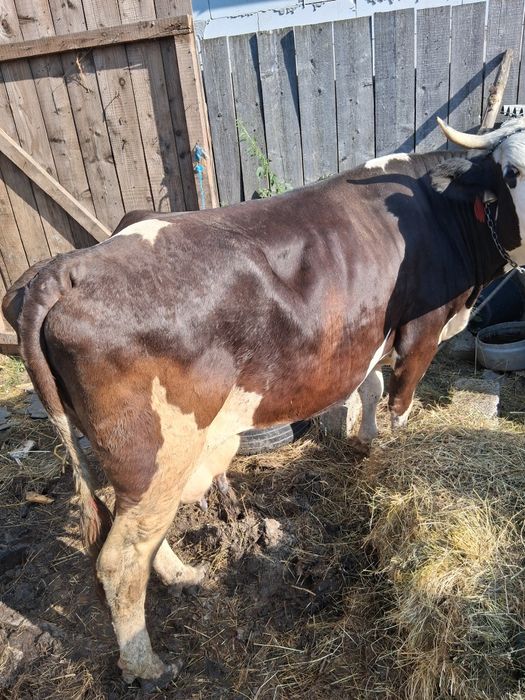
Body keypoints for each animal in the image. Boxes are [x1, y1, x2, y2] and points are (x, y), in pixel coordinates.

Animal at [3, 117, 525, 686]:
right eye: (513, 173)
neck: (439, 211)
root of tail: (65, 269)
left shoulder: (367, 335)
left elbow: (369, 388)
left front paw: (364, 445)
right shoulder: (421, 333)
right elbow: (399, 406)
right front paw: (391, 455)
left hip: (128, 455)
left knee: (136, 533)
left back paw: (182, 574)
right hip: (156, 452)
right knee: (121, 558)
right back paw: (145, 664)